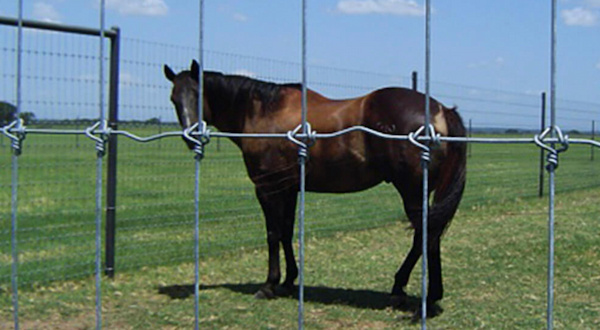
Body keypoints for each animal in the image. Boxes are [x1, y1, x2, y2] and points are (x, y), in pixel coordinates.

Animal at [165, 60, 468, 314]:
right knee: (431, 236)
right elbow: (286, 232)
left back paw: (404, 290)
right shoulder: (288, 188)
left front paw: (269, 285)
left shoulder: (267, 188)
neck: (263, 111)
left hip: (411, 192)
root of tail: (441, 110)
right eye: (173, 98)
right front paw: (289, 281)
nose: (191, 137)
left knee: (424, 236)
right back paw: (426, 293)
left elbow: (273, 234)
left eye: (198, 94)